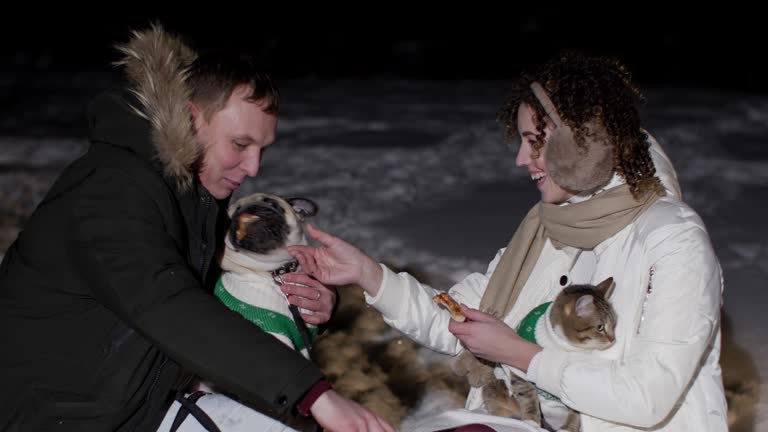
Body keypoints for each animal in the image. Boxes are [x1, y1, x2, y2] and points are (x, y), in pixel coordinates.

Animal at [214, 192, 320, 358]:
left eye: (271, 203)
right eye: (228, 221)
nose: (248, 209)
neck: (276, 271)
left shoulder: (305, 341)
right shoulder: (276, 333)